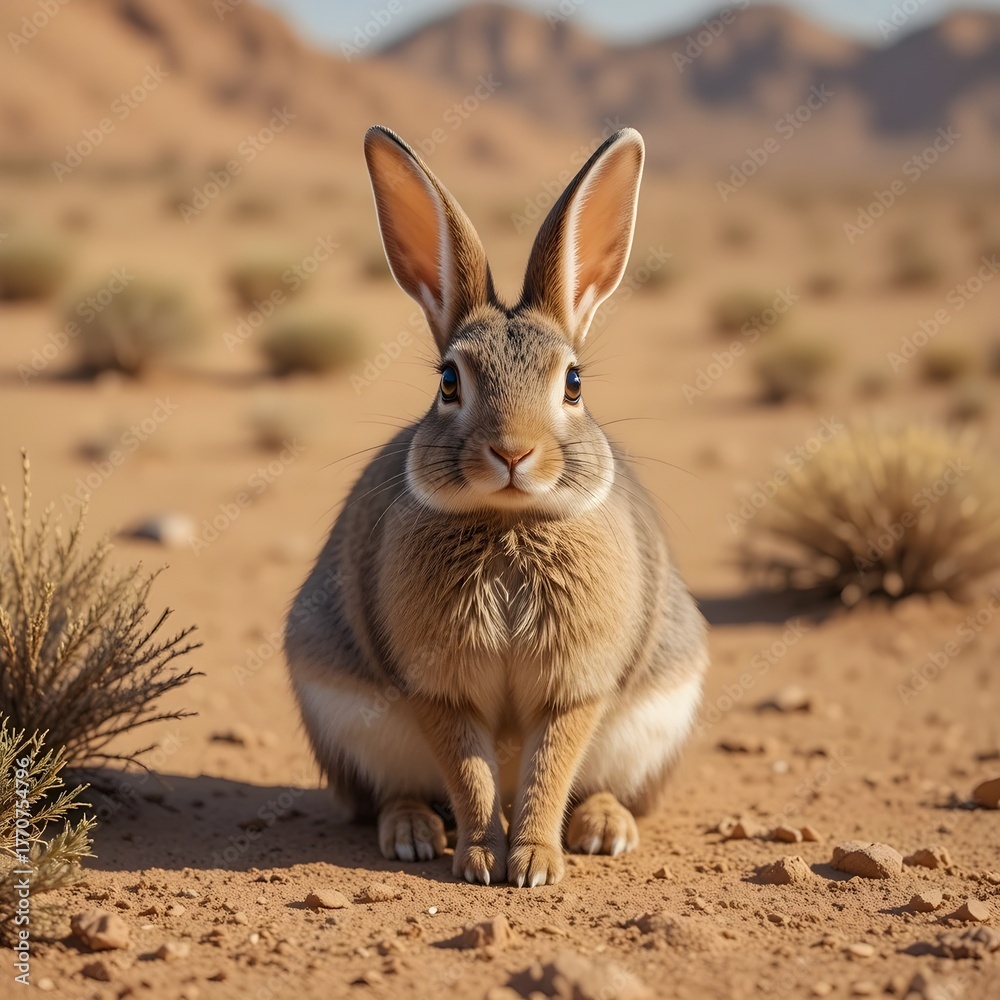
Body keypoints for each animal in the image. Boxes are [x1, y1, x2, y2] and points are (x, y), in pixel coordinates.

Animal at [284, 124, 708, 888]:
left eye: (573, 383)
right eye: (449, 381)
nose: (513, 453)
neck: (511, 526)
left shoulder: (576, 687)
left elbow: (549, 767)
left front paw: (534, 862)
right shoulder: (437, 689)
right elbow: (471, 773)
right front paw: (484, 860)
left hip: (653, 724)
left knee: (602, 786)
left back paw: (605, 829)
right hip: (350, 720)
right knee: (397, 791)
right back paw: (412, 833)